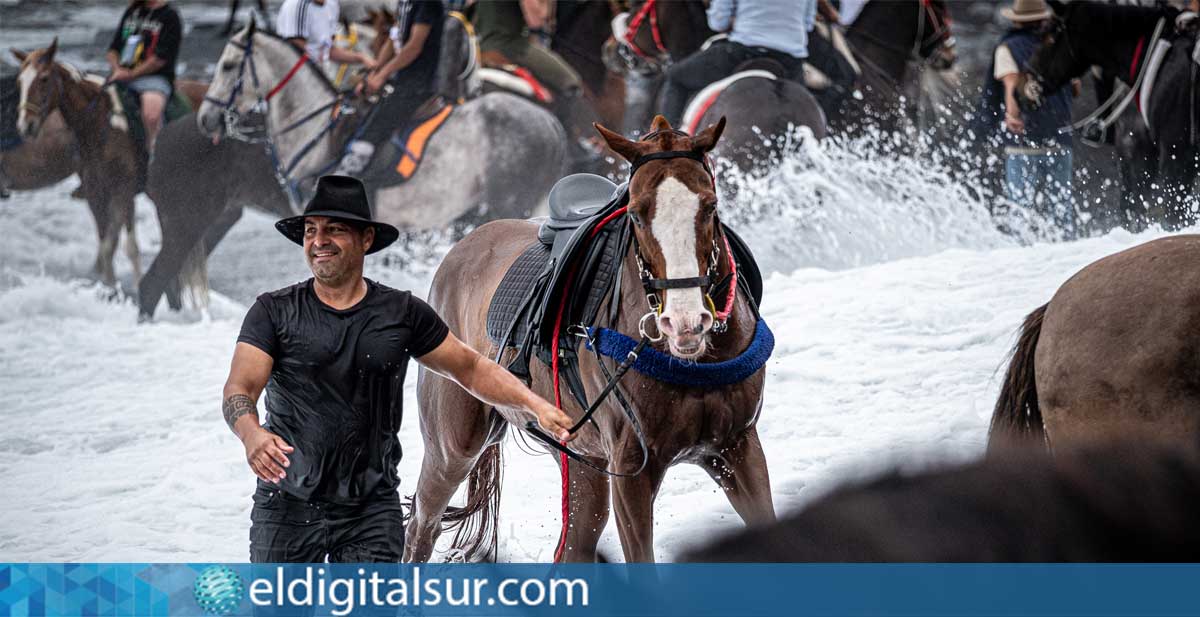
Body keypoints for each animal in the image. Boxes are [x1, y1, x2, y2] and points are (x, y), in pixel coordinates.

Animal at [408, 115, 772, 561]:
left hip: (579, 455)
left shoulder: (739, 447)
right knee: (422, 526)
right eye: (636, 214)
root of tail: (460, 251)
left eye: (710, 206)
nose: (685, 322)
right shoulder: (632, 469)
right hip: (452, 446)